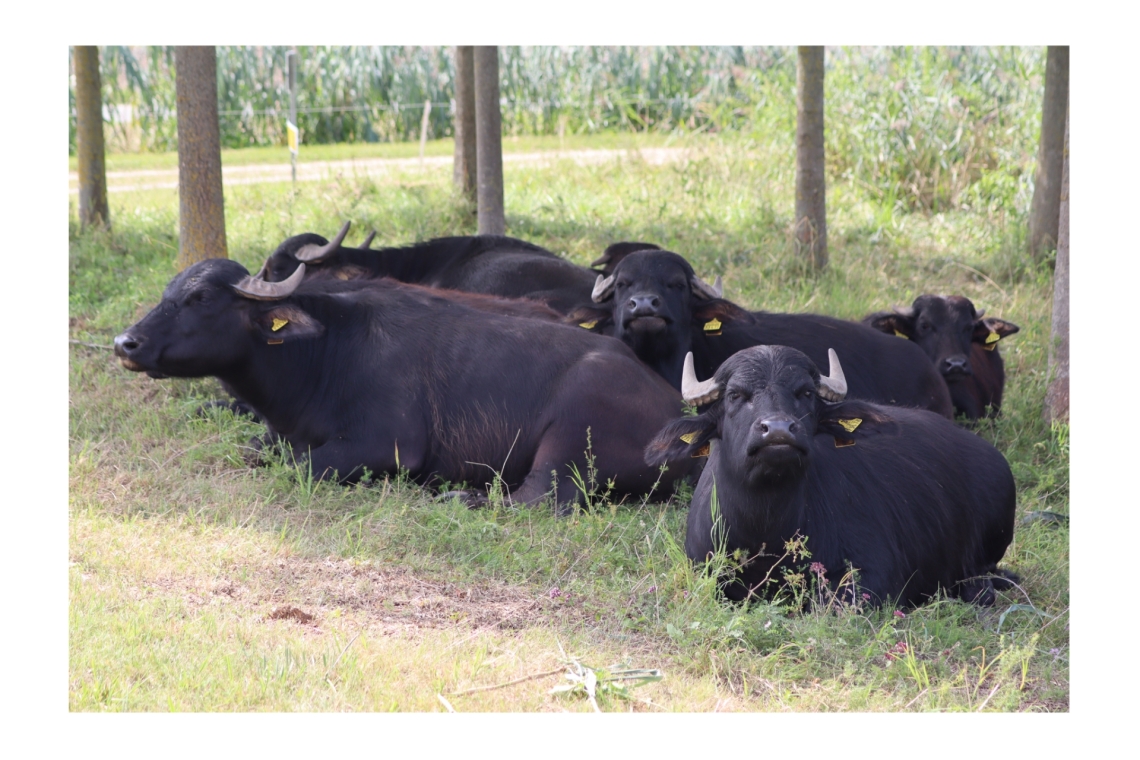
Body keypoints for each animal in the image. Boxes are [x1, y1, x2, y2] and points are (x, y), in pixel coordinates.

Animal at [113, 258, 693, 515]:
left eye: (202, 298)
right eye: (169, 291)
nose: (126, 343)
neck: (325, 353)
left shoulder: (387, 447)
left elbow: (298, 467)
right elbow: (255, 451)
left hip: (569, 442)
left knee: (537, 499)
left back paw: (462, 495)